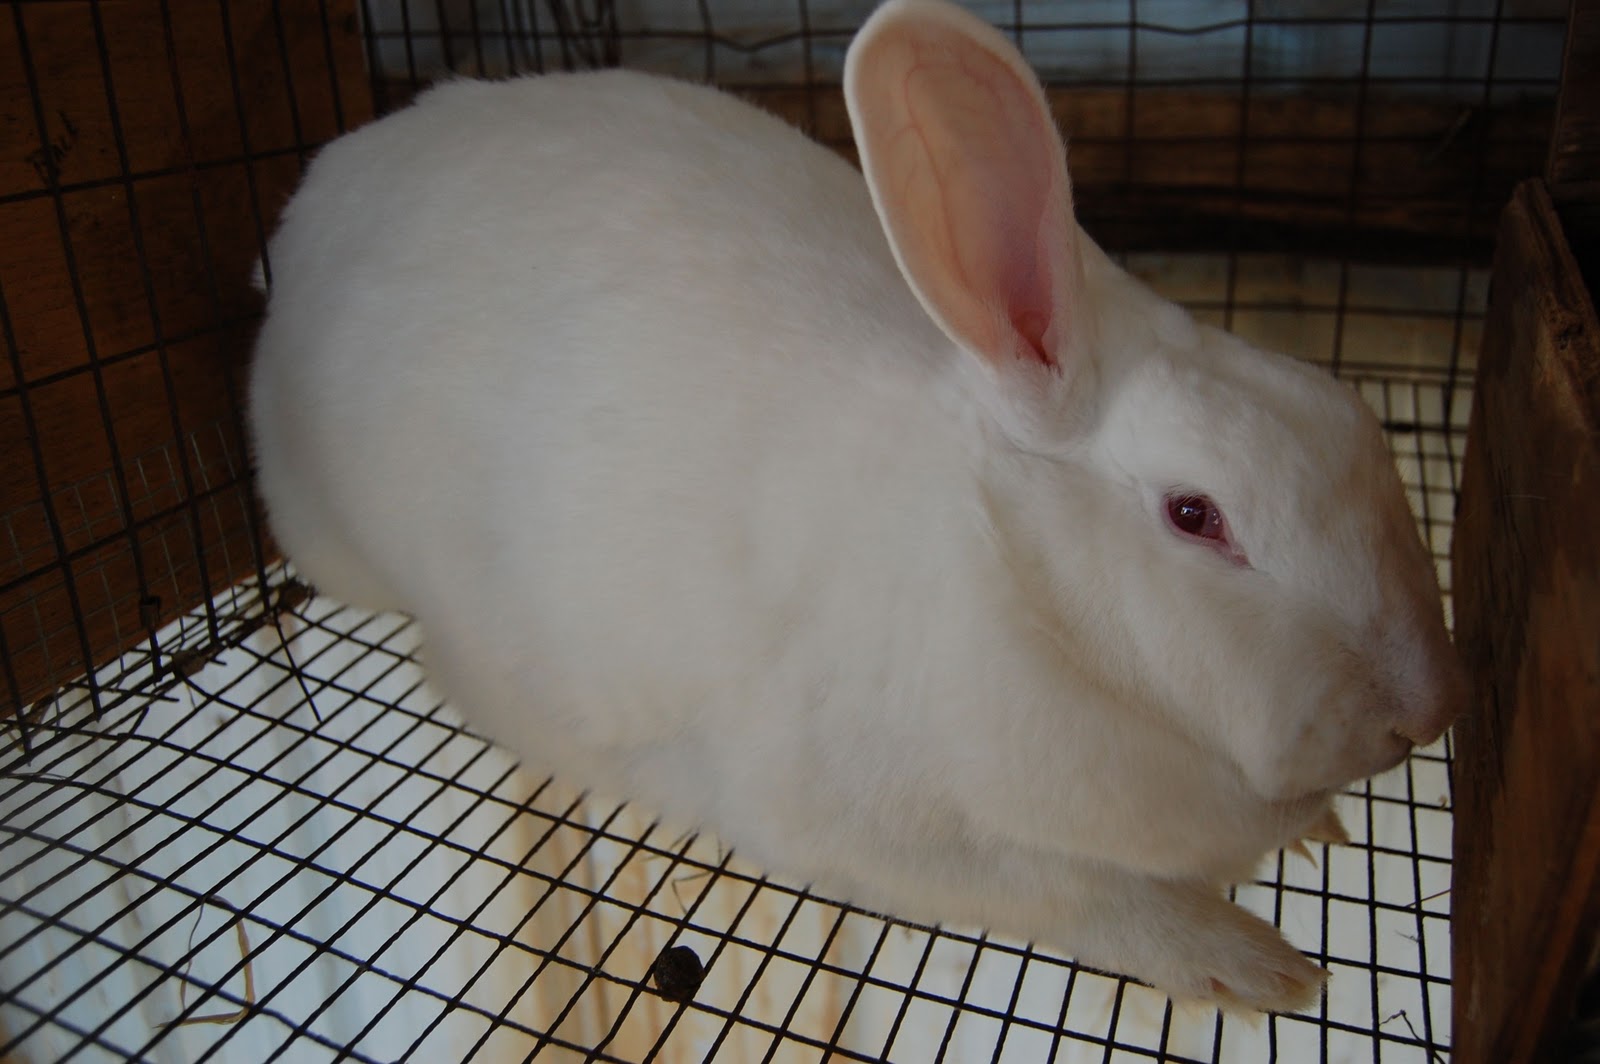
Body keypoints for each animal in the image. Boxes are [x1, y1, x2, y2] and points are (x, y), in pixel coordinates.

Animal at [247, 0, 1467, 1013]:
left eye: (1351, 411)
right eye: (1195, 516)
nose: (1426, 709)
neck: (1015, 579)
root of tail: (314, 198)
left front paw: (1316, 831)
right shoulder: (882, 834)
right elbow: (1091, 899)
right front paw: (1250, 965)